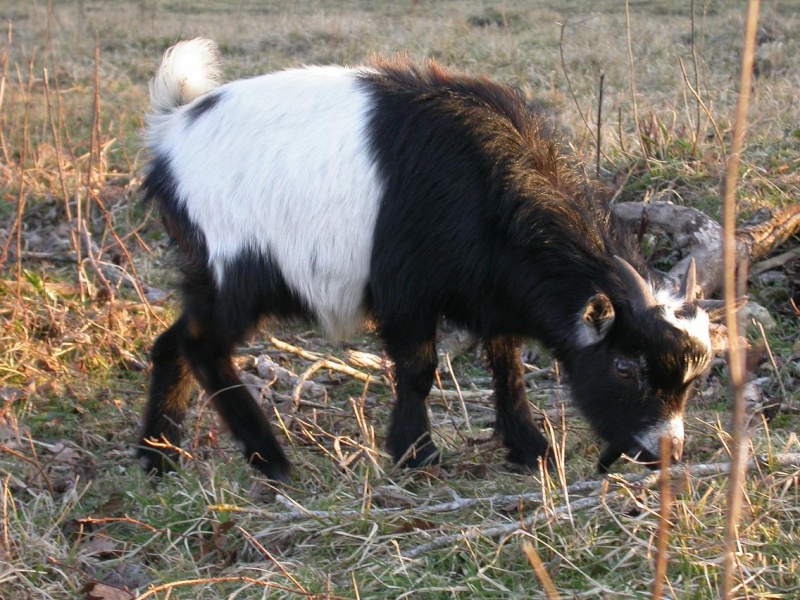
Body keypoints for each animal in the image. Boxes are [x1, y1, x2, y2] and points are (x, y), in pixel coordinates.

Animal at [139, 39, 724, 482]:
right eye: (626, 367)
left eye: (692, 382)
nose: (667, 450)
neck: (485, 190)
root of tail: (172, 131)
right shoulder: (406, 292)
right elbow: (420, 370)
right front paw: (415, 454)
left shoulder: (492, 294)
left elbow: (507, 366)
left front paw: (530, 449)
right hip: (238, 267)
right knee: (201, 345)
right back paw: (270, 460)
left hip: (206, 273)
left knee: (170, 344)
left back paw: (157, 456)